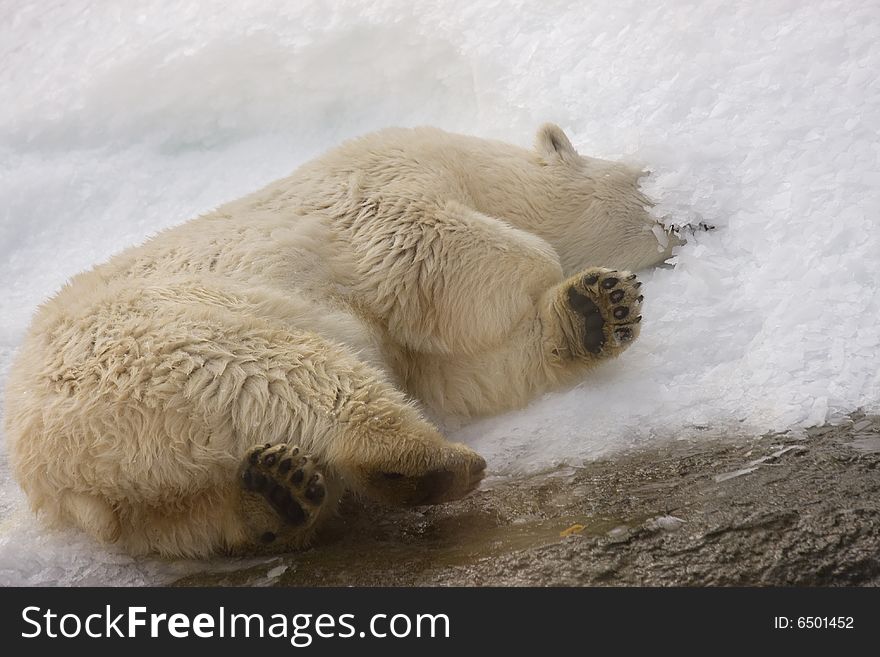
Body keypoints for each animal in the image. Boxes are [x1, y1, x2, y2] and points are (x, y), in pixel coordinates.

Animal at [3, 123, 672, 552]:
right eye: (644, 181)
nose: (681, 221)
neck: (481, 173)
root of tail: (49, 468)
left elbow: (466, 376)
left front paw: (598, 309)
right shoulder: (385, 182)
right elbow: (438, 248)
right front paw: (565, 279)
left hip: (140, 482)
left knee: (186, 520)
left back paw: (277, 495)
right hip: (169, 345)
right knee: (295, 374)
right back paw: (431, 463)